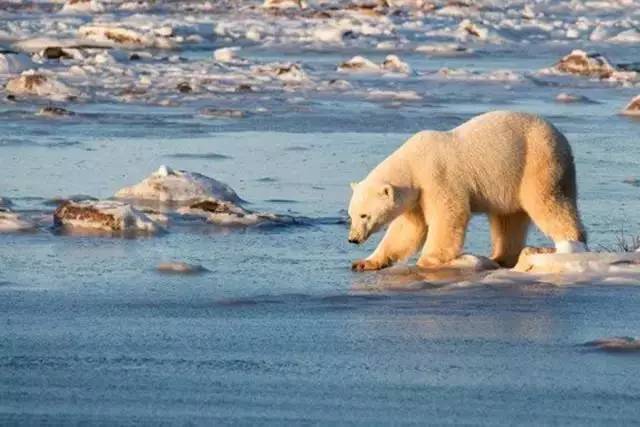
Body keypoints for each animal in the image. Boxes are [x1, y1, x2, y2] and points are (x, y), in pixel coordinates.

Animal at [348, 110, 588, 270]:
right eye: (351, 215)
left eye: (364, 215)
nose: (353, 239)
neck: (413, 162)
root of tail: (562, 138)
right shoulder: (416, 196)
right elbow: (407, 230)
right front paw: (365, 262)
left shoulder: (437, 177)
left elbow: (449, 214)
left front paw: (429, 259)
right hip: (511, 180)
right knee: (507, 219)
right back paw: (499, 258)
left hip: (537, 162)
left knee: (547, 202)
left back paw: (569, 246)